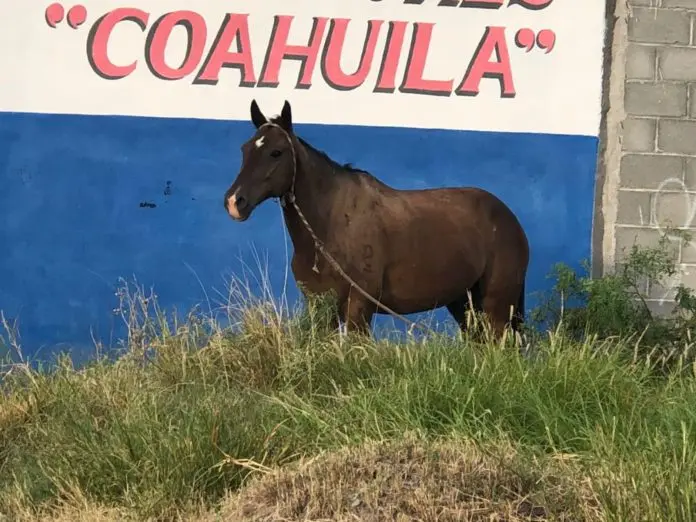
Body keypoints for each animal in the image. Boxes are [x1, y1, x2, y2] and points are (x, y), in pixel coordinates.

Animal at [223, 99, 530, 338]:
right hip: (463, 303)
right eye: (244, 149)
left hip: (496, 306)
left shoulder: (359, 304)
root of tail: (509, 217)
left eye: (276, 152)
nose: (235, 202)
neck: (329, 227)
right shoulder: (320, 306)